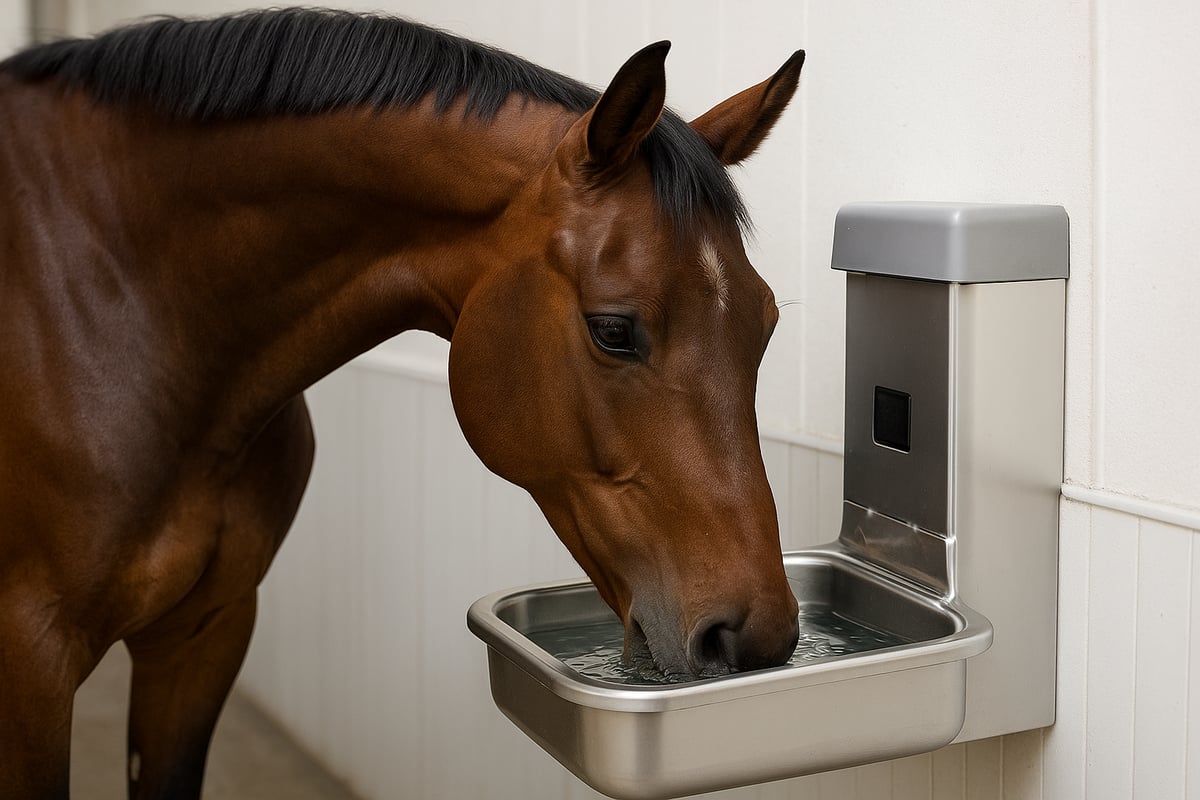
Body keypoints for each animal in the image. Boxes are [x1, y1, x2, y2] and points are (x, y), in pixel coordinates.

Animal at [0, 9, 804, 798]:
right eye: (612, 330)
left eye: (767, 325)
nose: (756, 635)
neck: (126, 299)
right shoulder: (32, 662)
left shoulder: (205, 632)